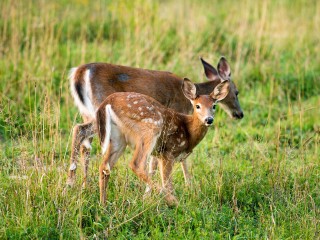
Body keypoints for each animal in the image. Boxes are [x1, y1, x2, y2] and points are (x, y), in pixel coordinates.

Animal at [65, 57, 242, 188]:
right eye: (237, 92)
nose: (239, 114)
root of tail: (79, 72)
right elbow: (176, 158)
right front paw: (188, 186)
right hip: (101, 112)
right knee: (79, 130)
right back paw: (71, 183)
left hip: (87, 112)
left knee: (85, 141)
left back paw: (83, 184)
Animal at [92, 78, 230, 205]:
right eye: (197, 106)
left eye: (214, 106)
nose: (209, 119)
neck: (188, 132)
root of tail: (107, 102)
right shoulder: (168, 152)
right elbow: (167, 182)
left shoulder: (158, 154)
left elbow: (154, 171)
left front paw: (146, 199)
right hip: (150, 128)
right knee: (136, 164)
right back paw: (173, 201)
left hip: (118, 138)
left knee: (105, 166)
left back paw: (103, 204)